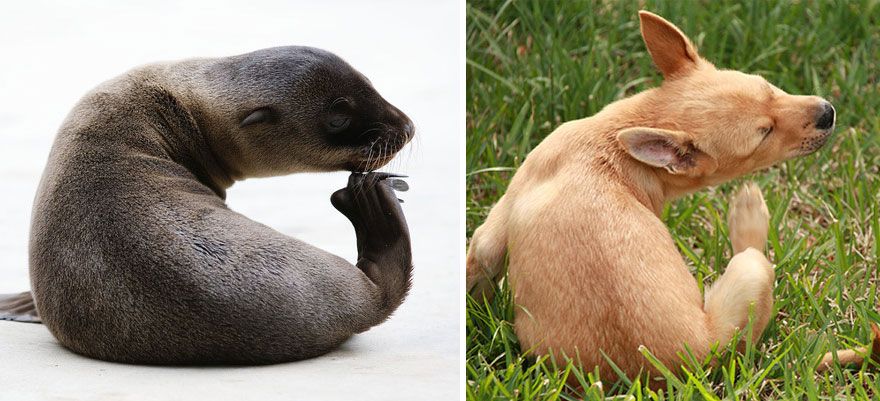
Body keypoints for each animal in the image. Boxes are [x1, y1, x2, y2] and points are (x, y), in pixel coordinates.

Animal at [464, 10, 844, 378]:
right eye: (764, 134)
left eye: (769, 88)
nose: (828, 113)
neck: (613, 142)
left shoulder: (492, 230)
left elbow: (477, 267)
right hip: (750, 274)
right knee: (751, 260)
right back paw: (748, 217)